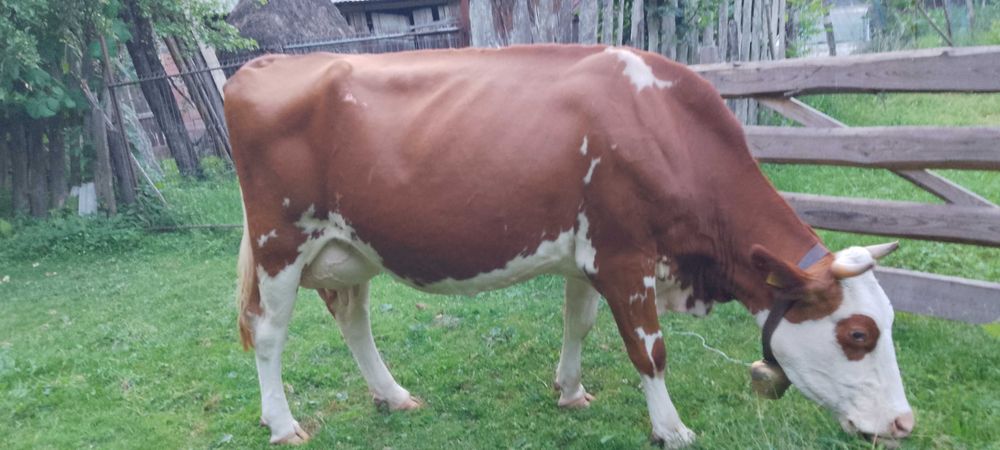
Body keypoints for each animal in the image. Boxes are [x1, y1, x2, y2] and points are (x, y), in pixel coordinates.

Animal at [224, 44, 914, 447]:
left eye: (887, 323)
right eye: (857, 335)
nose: (904, 423)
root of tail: (264, 64)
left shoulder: (589, 256)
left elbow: (578, 324)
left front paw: (571, 391)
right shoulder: (627, 257)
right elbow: (649, 351)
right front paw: (672, 429)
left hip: (353, 245)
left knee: (352, 317)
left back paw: (391, 396)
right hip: (281, 240)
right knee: (268, 332)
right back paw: (282, 424)